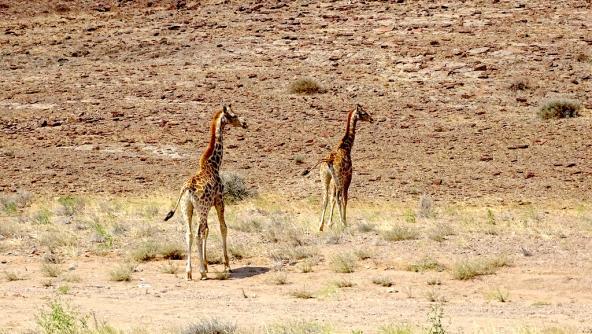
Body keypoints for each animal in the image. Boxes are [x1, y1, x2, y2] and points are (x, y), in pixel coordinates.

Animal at [163, 103, 246, 280]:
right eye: (234, 115)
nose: (244, 123)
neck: (213, 164)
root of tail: (187, 189)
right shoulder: (219, 201)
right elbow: (223, 227)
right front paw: (226, 266)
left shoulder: (207, 207)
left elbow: (207, 230)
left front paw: (207, 265)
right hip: (201, 208)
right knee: (197, 233)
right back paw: (200, 272)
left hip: (187, 209)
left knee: (189, 233)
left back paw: (189, 272)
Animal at [302, 104, 372, 232]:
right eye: (364, 113)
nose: (371, 119)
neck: (346, 146)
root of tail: (328, 161)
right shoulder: (348, 177)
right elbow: (344, 199)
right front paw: (341, 221)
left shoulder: (334, 180)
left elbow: (332, 198)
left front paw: (330, 223)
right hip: (338, 178)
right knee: (339, 198)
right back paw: (342, 223)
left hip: (325, 178)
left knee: (325, 198)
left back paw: (321, 226)